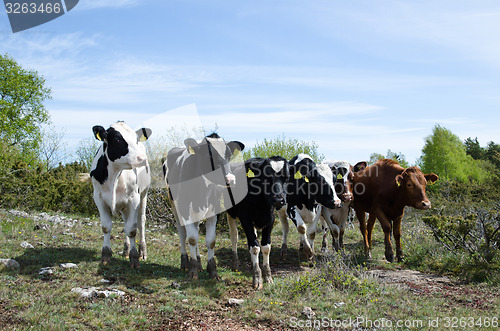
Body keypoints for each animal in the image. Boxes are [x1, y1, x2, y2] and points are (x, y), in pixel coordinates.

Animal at [88, 122, 151, 270]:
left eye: (136, 139)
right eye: (117, 140)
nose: (142, 159)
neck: (115, 174)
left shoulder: (134, 198)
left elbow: (132, 229)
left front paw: (135, 258)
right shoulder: (98, 198)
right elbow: (106, 226)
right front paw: (105, 256)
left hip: (143, 195)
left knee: (141, 222)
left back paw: (142, 252)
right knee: (126, 221)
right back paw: (126, 250)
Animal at [164, 134, 244, 282]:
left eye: (229, 155)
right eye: (209, 155)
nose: (230, 179)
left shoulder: (214, 210)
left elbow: (210, 241)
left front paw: (212, 271)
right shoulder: (185, 208)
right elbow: (192, 239)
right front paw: (193, 270)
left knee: (195, 228)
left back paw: (199, 263)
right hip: (174, 205)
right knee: (183, 233)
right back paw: (185, 263)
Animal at [227, 157, 290, 290]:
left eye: (287, 178)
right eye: (266, 177)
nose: (278, 200)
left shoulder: (271, 218)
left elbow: (265, 247)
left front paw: (268, 276)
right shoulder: (244, 217)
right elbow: (255, 247)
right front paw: (257, 278)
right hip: (230, 212)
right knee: (234, 236)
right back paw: (235, 263)